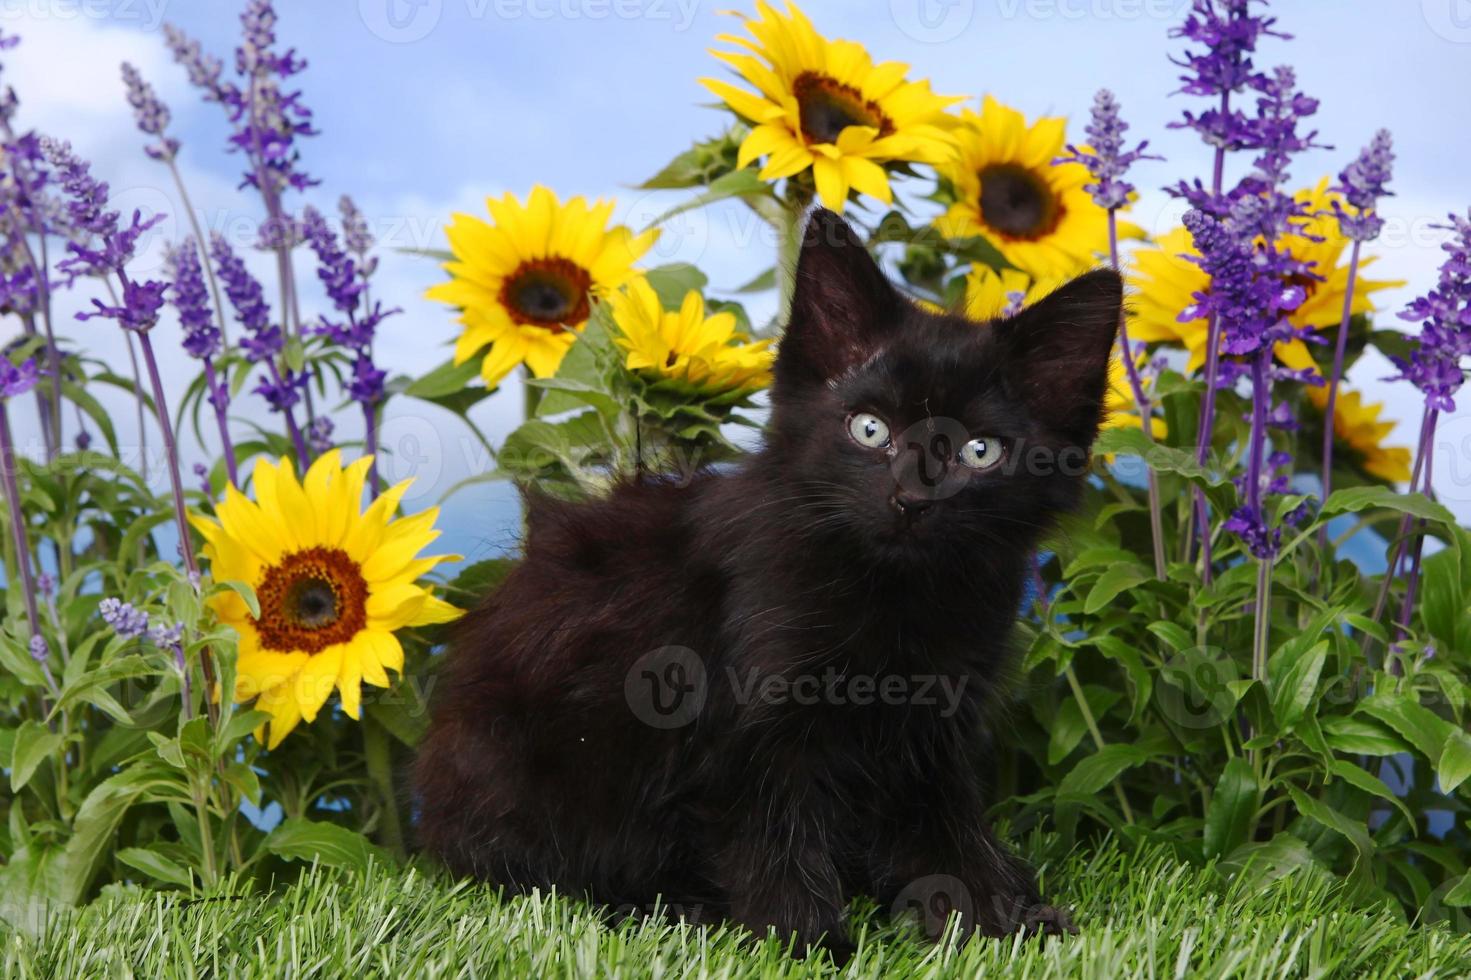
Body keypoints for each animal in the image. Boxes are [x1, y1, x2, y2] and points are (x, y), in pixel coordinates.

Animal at [414, 207, 1123, 953]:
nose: (911, 500)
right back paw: (674, 906)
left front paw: (992, 915)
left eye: (979, 451)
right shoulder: (747, 725)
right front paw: (807, 941)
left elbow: (946, 827)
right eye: (870, 430)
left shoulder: (934, 723)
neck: (893, 594)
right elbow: (772, 836)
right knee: (552, 872)